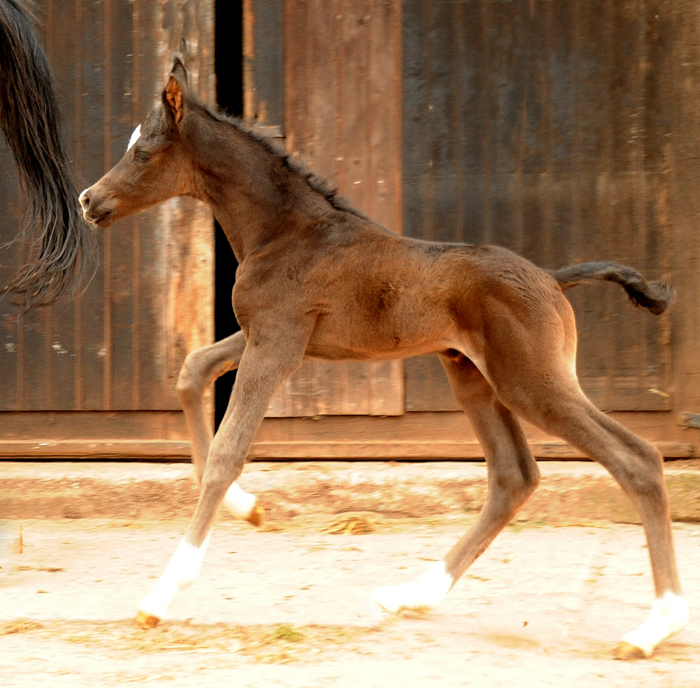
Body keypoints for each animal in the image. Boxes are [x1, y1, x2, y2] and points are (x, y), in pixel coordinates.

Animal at [79, 56, 688, 660]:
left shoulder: (277, 344)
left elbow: (229, 450)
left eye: (142, 152)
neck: (286, 232)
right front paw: (246, 508)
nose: (88, 200)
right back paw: (412, 595)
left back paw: (656, 626)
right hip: (472, 375)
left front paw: (159, 596)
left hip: (532, 384)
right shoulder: (273, 338)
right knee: (514, 476)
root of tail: (552, 278)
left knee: (637, 460)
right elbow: (192, 371)